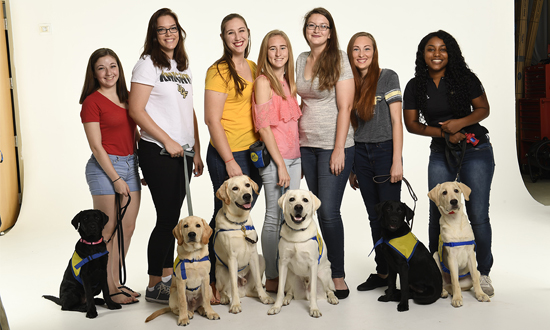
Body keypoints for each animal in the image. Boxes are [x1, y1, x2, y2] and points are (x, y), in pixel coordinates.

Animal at [213, 174, 274, 314]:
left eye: (247, 185)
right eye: (235, 188)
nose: (247, 195)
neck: (239, 224)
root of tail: (244, 292)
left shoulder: (253, 255)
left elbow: (258, 281)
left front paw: (264, 297)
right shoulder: (232, 258)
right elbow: (234, 285)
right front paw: (235, 305)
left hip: (261, 259)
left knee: (253, 287)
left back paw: (262, 293)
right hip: (221, 270)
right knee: (222, 289)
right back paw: (224, 298)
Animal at [268, 189, 338, 318]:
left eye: (305, 200)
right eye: (291, 199)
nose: (298, 207)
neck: (297, 232)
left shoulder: (313, 264)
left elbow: (314, 292)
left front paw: (314, 309)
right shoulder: (283, 263)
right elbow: (280, 290)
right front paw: (276, 307)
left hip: (324, 274)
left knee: (328, 289)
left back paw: (333, 298)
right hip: (290, 276)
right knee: (290, 291)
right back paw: (286, 299)